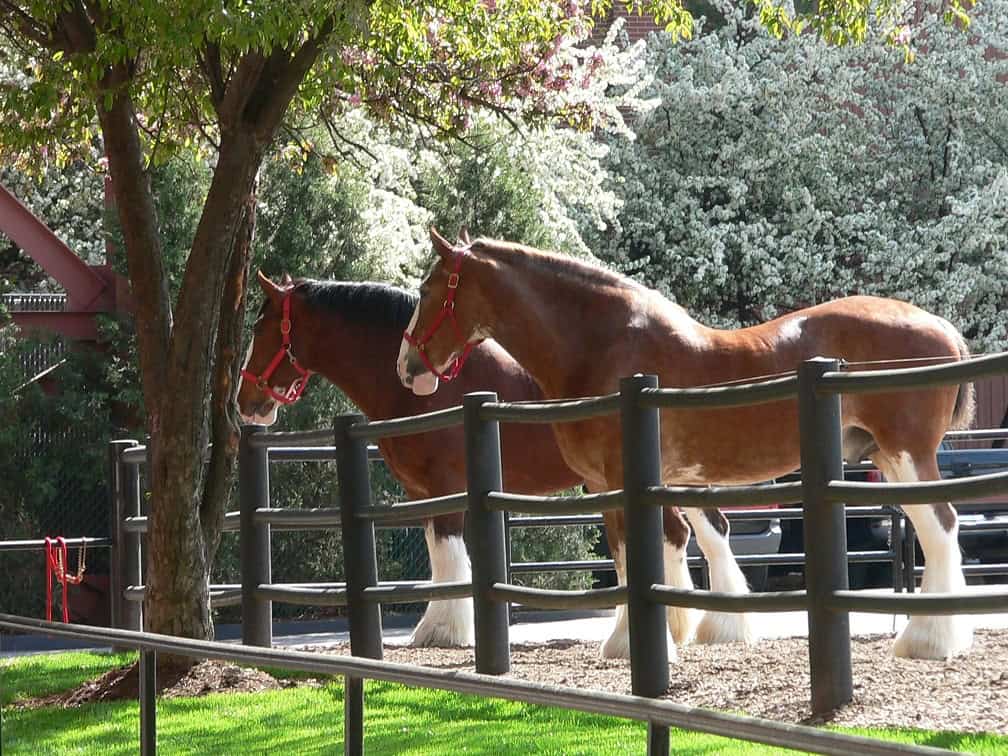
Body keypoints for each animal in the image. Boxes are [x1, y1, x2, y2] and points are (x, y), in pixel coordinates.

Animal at [236, 270, 582, 647]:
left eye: (258, 328)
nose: (242, 400)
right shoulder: (422, 493)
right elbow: (438, 554)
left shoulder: (446, 487)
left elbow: (449, 554)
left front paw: (444, 631)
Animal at [397, 228, 976, 661]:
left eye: (426, 290)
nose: (406, 369)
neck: (602, 345)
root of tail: (943, 329)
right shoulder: (608, 485)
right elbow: (633, 556)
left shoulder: (624, 480)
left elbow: (641, 556)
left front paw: (634, 643)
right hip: (888, 458)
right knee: (935, 528)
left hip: (907, 454)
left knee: (941, 527)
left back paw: (930, 640)